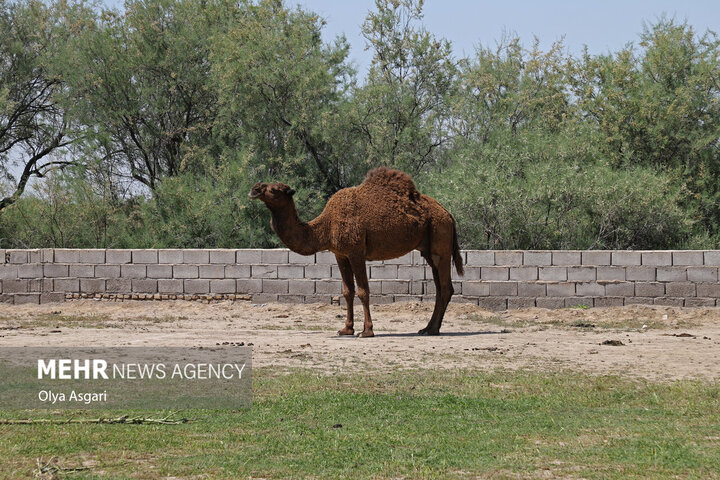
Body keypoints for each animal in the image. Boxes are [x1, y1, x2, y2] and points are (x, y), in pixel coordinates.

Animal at [250, 168, 464, 338]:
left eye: (274, 189)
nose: (254, 189)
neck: (326, 225)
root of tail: (449, 214)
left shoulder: (355, 251)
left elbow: (363, 291)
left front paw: (367, 331)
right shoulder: (340, 254)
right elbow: (347, 291)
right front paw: (346, 329)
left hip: (440, 240)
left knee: (445, 287)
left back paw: (433, 329)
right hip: (429, 250)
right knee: (439, 287)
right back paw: (427, 328)